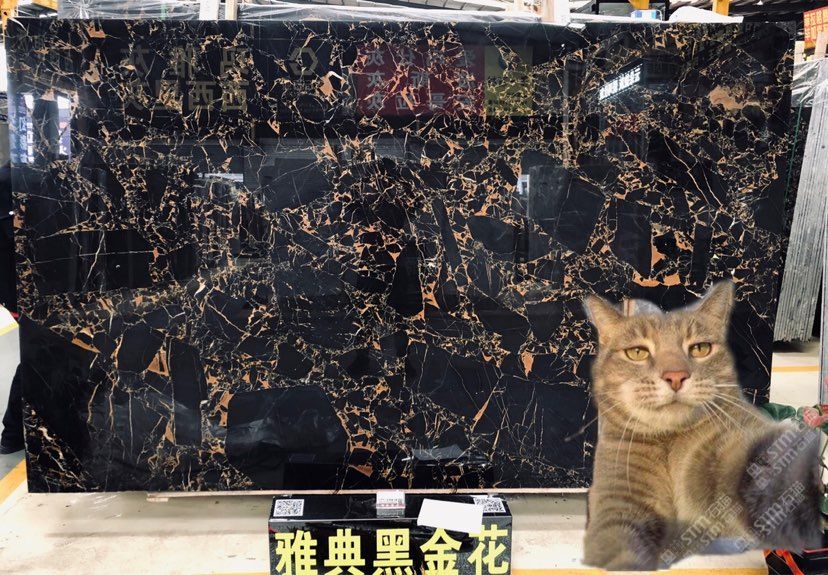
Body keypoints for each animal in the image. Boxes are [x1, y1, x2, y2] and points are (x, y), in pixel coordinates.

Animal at [582, 281, 823, 571]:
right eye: (637, 352)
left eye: (700, 348)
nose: (675, 376)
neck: (670, 445)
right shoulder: (617, 501)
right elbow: (618, 541)